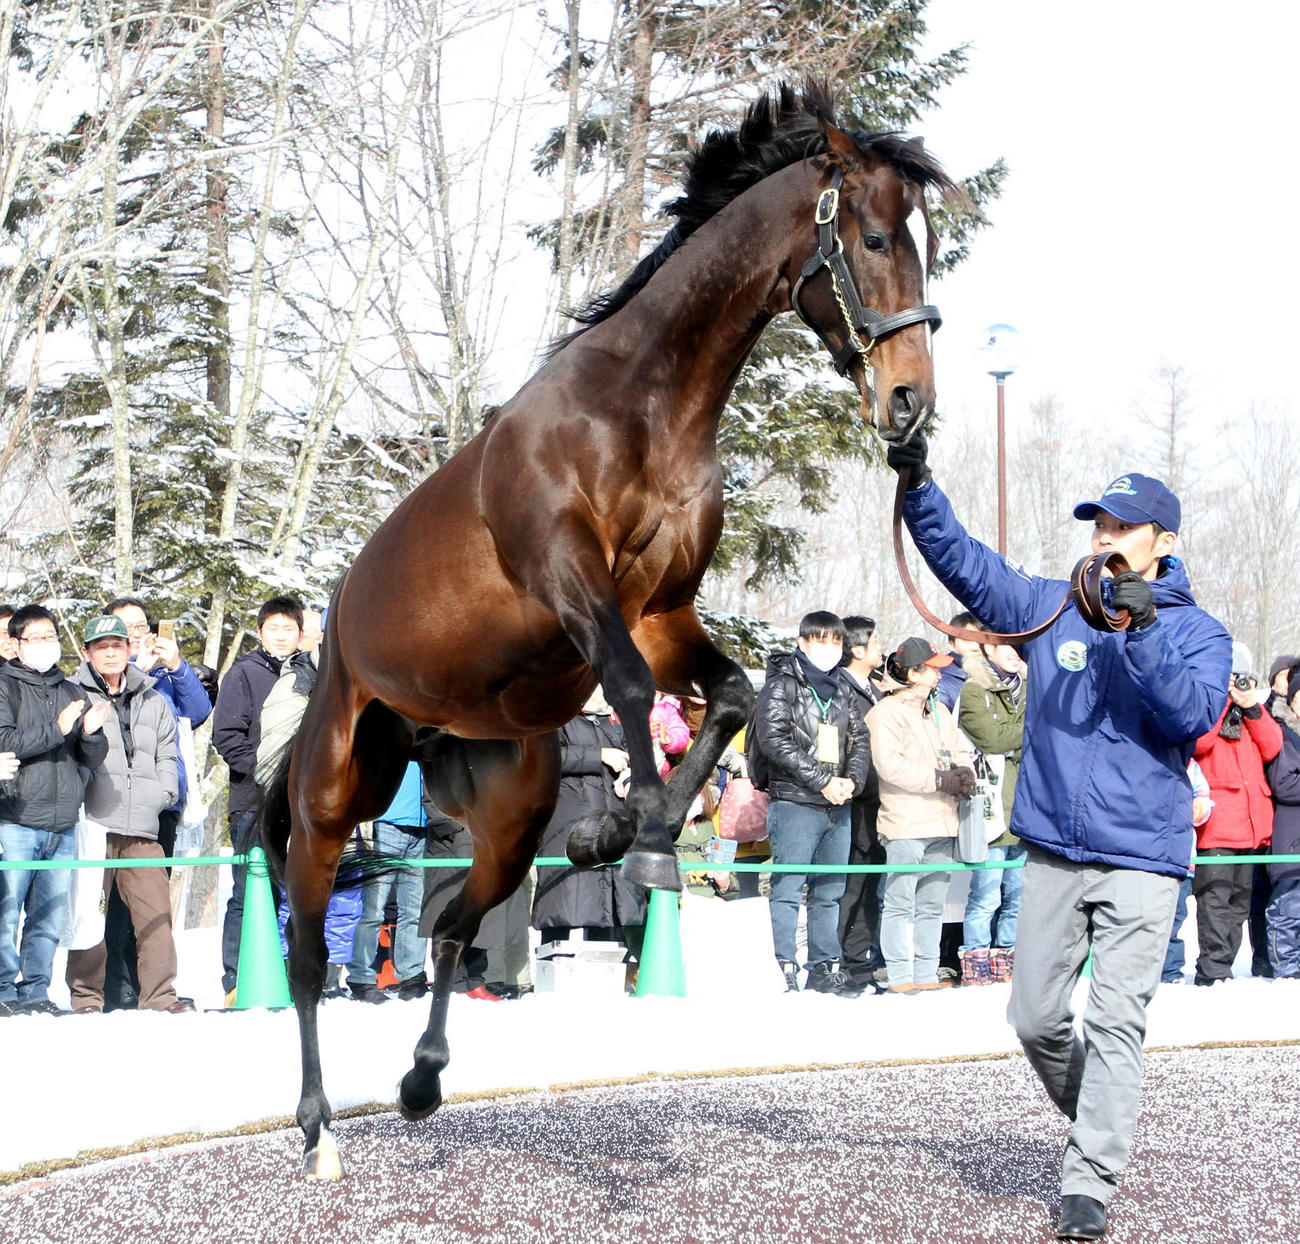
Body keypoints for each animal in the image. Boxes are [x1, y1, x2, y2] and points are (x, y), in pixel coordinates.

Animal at [260, 80, 954, 1179]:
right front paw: (644, 842)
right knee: (304, 956)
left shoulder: (661, 611)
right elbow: (632, 693)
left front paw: (617, 830)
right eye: (878, 236)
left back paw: (421, 1080)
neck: (638, 406)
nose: (908, 402)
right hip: (334, 794)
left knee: (452, 924)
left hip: (507, 815)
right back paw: (320, 1128)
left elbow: (732, 694)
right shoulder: (574, 590)